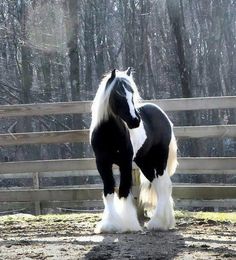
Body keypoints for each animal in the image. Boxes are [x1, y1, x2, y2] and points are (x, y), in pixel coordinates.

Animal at [90, 68, 177, 233]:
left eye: (132, 93)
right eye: (118, 94)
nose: (135, 121)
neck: (109, 134)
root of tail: (162, 114)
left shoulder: (125, 163)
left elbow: (124, 191)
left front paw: (128, 225)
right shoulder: (102, 163)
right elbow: (109, 190)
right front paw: (109, 225)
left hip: (159, 158)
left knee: (164, 186)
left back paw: (158, 223)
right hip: (145, 162)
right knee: (158, 184)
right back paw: (163, 222)